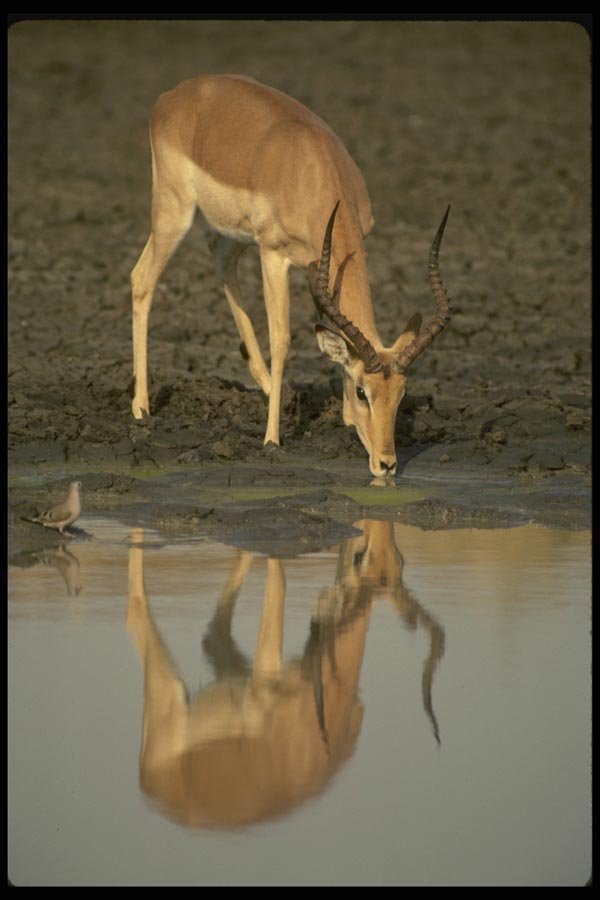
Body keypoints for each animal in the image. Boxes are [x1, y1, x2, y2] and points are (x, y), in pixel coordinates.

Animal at [126, 519, 445, 829]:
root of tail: (153, 786)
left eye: (399, 558)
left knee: (212, 632)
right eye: (360, 556)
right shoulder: (262, 685)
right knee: (136, 611)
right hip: (171, 694)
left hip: (229, 672)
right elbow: (282, 580)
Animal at [130, 74, 452, 477]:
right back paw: (141, 407)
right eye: (363, 391)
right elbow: (282, 339)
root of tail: (174, 94)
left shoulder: (320, 265)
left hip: (232, 233)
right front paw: (272, 439)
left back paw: (270, 388)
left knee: (219, 258)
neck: (312, 170)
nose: (387, 464)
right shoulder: (273, 255)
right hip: (175, 212)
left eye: (401, 393)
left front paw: (345, 420)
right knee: (142, 279)